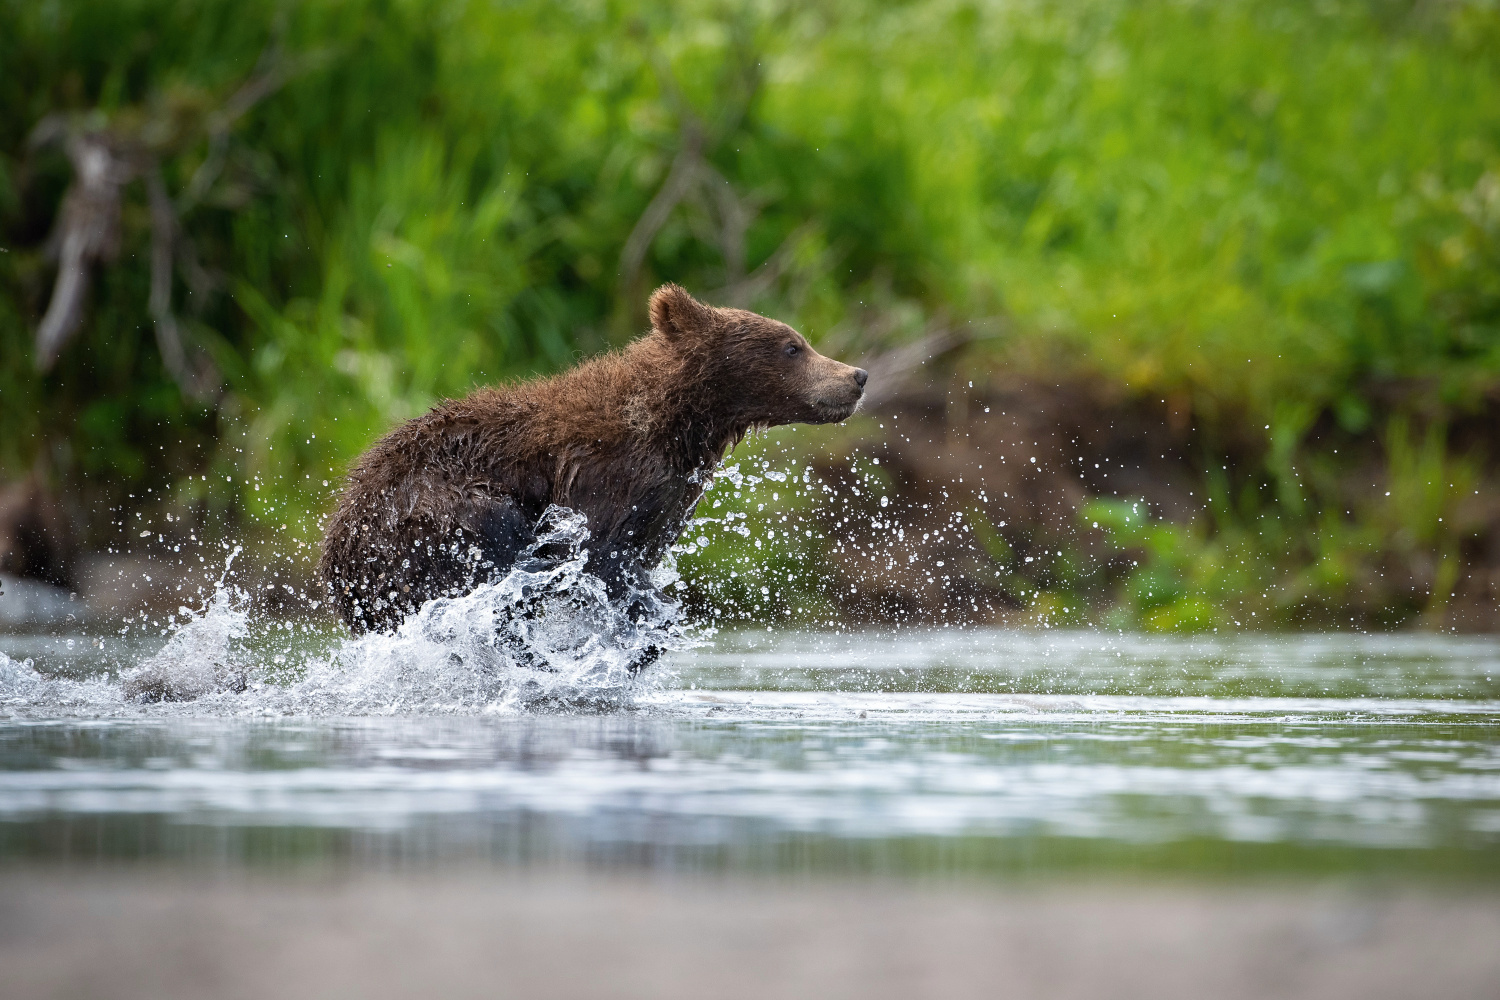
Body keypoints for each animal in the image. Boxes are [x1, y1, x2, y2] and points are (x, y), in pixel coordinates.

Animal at [322, 283, 876, 632]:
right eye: (792, 346)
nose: (858, 376)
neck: (677, 424)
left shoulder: (666, 499)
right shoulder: (601, 473)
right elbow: (595, 553)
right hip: (423, 509)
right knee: (492, 531)